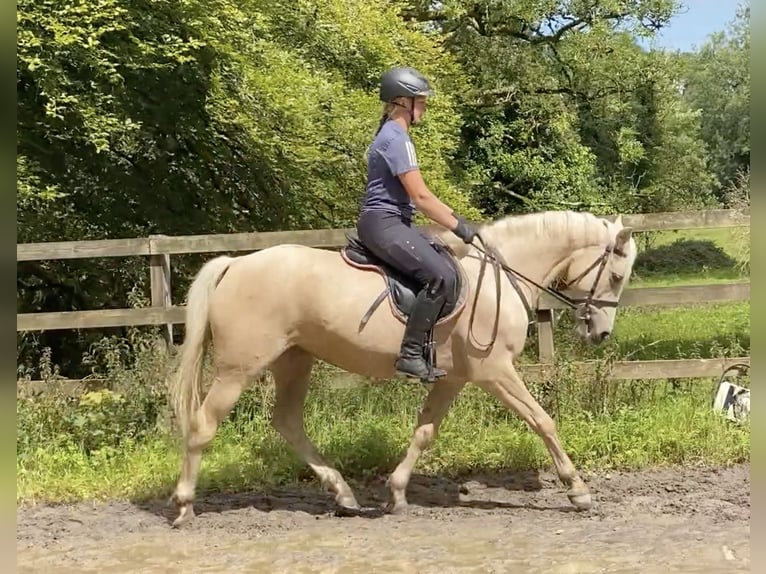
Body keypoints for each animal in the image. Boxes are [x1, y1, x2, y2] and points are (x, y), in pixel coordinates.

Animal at [170, 209, 640, 528]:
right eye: (617, 276)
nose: (601, 334)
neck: (497, 281)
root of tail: (235, 263)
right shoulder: (495, 373)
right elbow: (543, 420)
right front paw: (577, 490)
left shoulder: (454, 378)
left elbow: (425, 431)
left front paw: (395, 494)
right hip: (238, 368)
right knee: (203, 424)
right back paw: (184, 505)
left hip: (295, 359)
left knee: (286, 421)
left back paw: (343, 495)